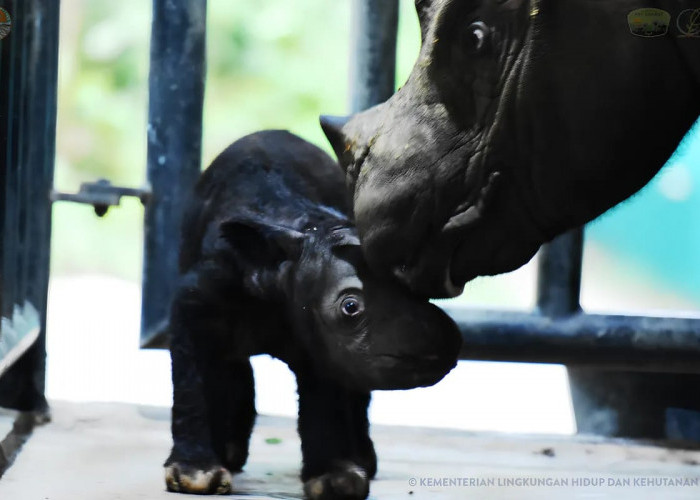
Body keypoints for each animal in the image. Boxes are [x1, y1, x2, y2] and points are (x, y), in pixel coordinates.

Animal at [163, 131, 460, 498]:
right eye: (350, 307)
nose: (447, 342)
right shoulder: (194, 303)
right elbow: (192, 380)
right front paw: (196, 473)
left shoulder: (323, 342)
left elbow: (325, 395)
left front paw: (335, 479)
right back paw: (229, 452)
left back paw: (362, 459)